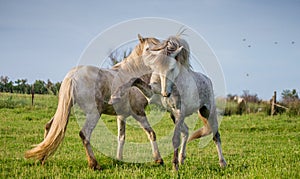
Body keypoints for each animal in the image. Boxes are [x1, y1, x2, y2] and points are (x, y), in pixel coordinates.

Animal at [24, 34, 165, 169]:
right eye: (147, 49)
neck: (133, 74)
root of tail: (72, 76)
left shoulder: (121, 116)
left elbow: (121, 137)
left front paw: (119, 159)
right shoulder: (138, 112)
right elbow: (151, 133)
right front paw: (158, 160)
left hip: (65, 109)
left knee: (50, 127)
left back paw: (42, 159)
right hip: (94, 113)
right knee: (84, 134)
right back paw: (94, 164)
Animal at [111, 35, 226, 171]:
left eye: (172, 68)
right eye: (156, 68)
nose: (165, 93)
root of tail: (207, 79)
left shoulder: (180, 111)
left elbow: (175, 139)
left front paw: (174, 167)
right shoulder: (152, 95)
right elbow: (135, 79)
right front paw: (115, 96)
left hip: (207, 112)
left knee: (215, 135)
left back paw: (222, 163)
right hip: (173, 115)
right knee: (186, 132)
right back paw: (182, 158)